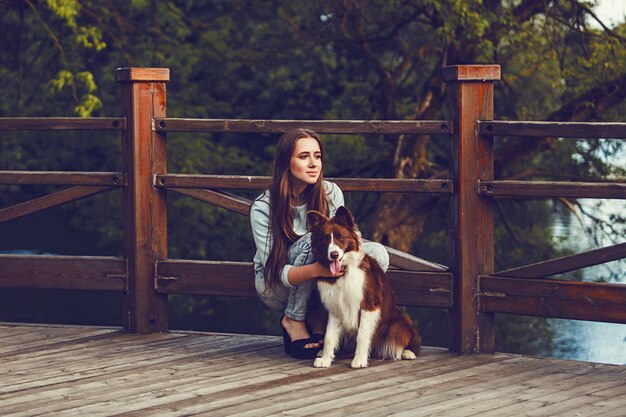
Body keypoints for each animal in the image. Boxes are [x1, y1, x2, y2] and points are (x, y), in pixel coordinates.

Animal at [306, 206, 420, 368]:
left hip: (398, 324)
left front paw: (359, 360)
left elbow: (362, 334)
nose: (334, 255)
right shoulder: (335, 307)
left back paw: (408, 352)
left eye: (341, 237)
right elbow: (329, 336)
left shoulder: (369, 305)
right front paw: (326, 359)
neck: (344, 271)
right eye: (326, 239)